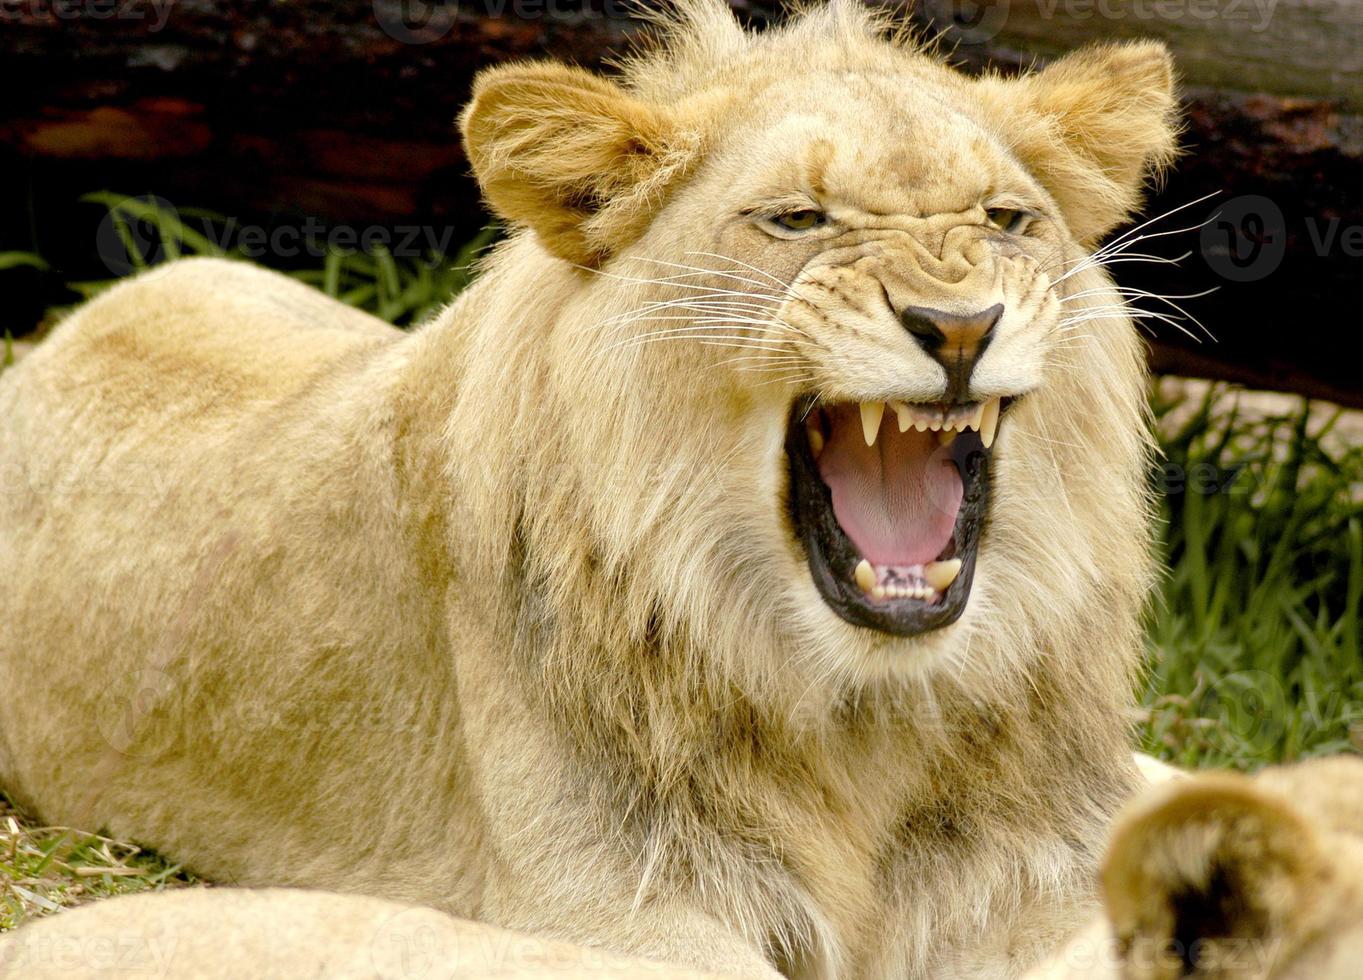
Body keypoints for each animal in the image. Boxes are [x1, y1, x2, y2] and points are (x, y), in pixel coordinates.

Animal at [0, 3, 1177, 975]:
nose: (961, 326)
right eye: (797, 220)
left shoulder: (1031, 863)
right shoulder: (601, 897)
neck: (861, 713)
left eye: (1006, 219)